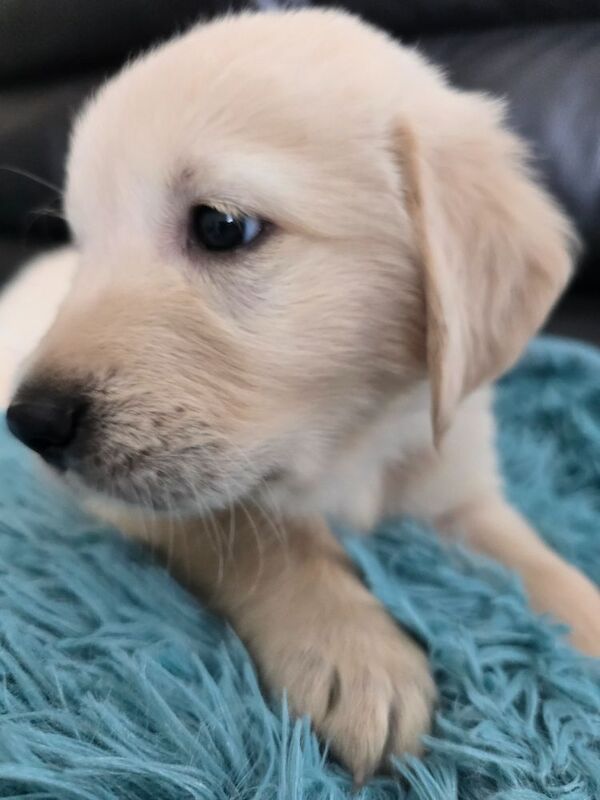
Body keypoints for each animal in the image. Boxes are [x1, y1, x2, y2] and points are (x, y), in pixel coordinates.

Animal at [4, 7, 600, 780]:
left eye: (222, 226)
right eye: (86, 244)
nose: (30, 423)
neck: (353, 438)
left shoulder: (458, 488)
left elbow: (539, 565)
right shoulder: (149, 502)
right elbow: (264, 539)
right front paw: (357, 654)